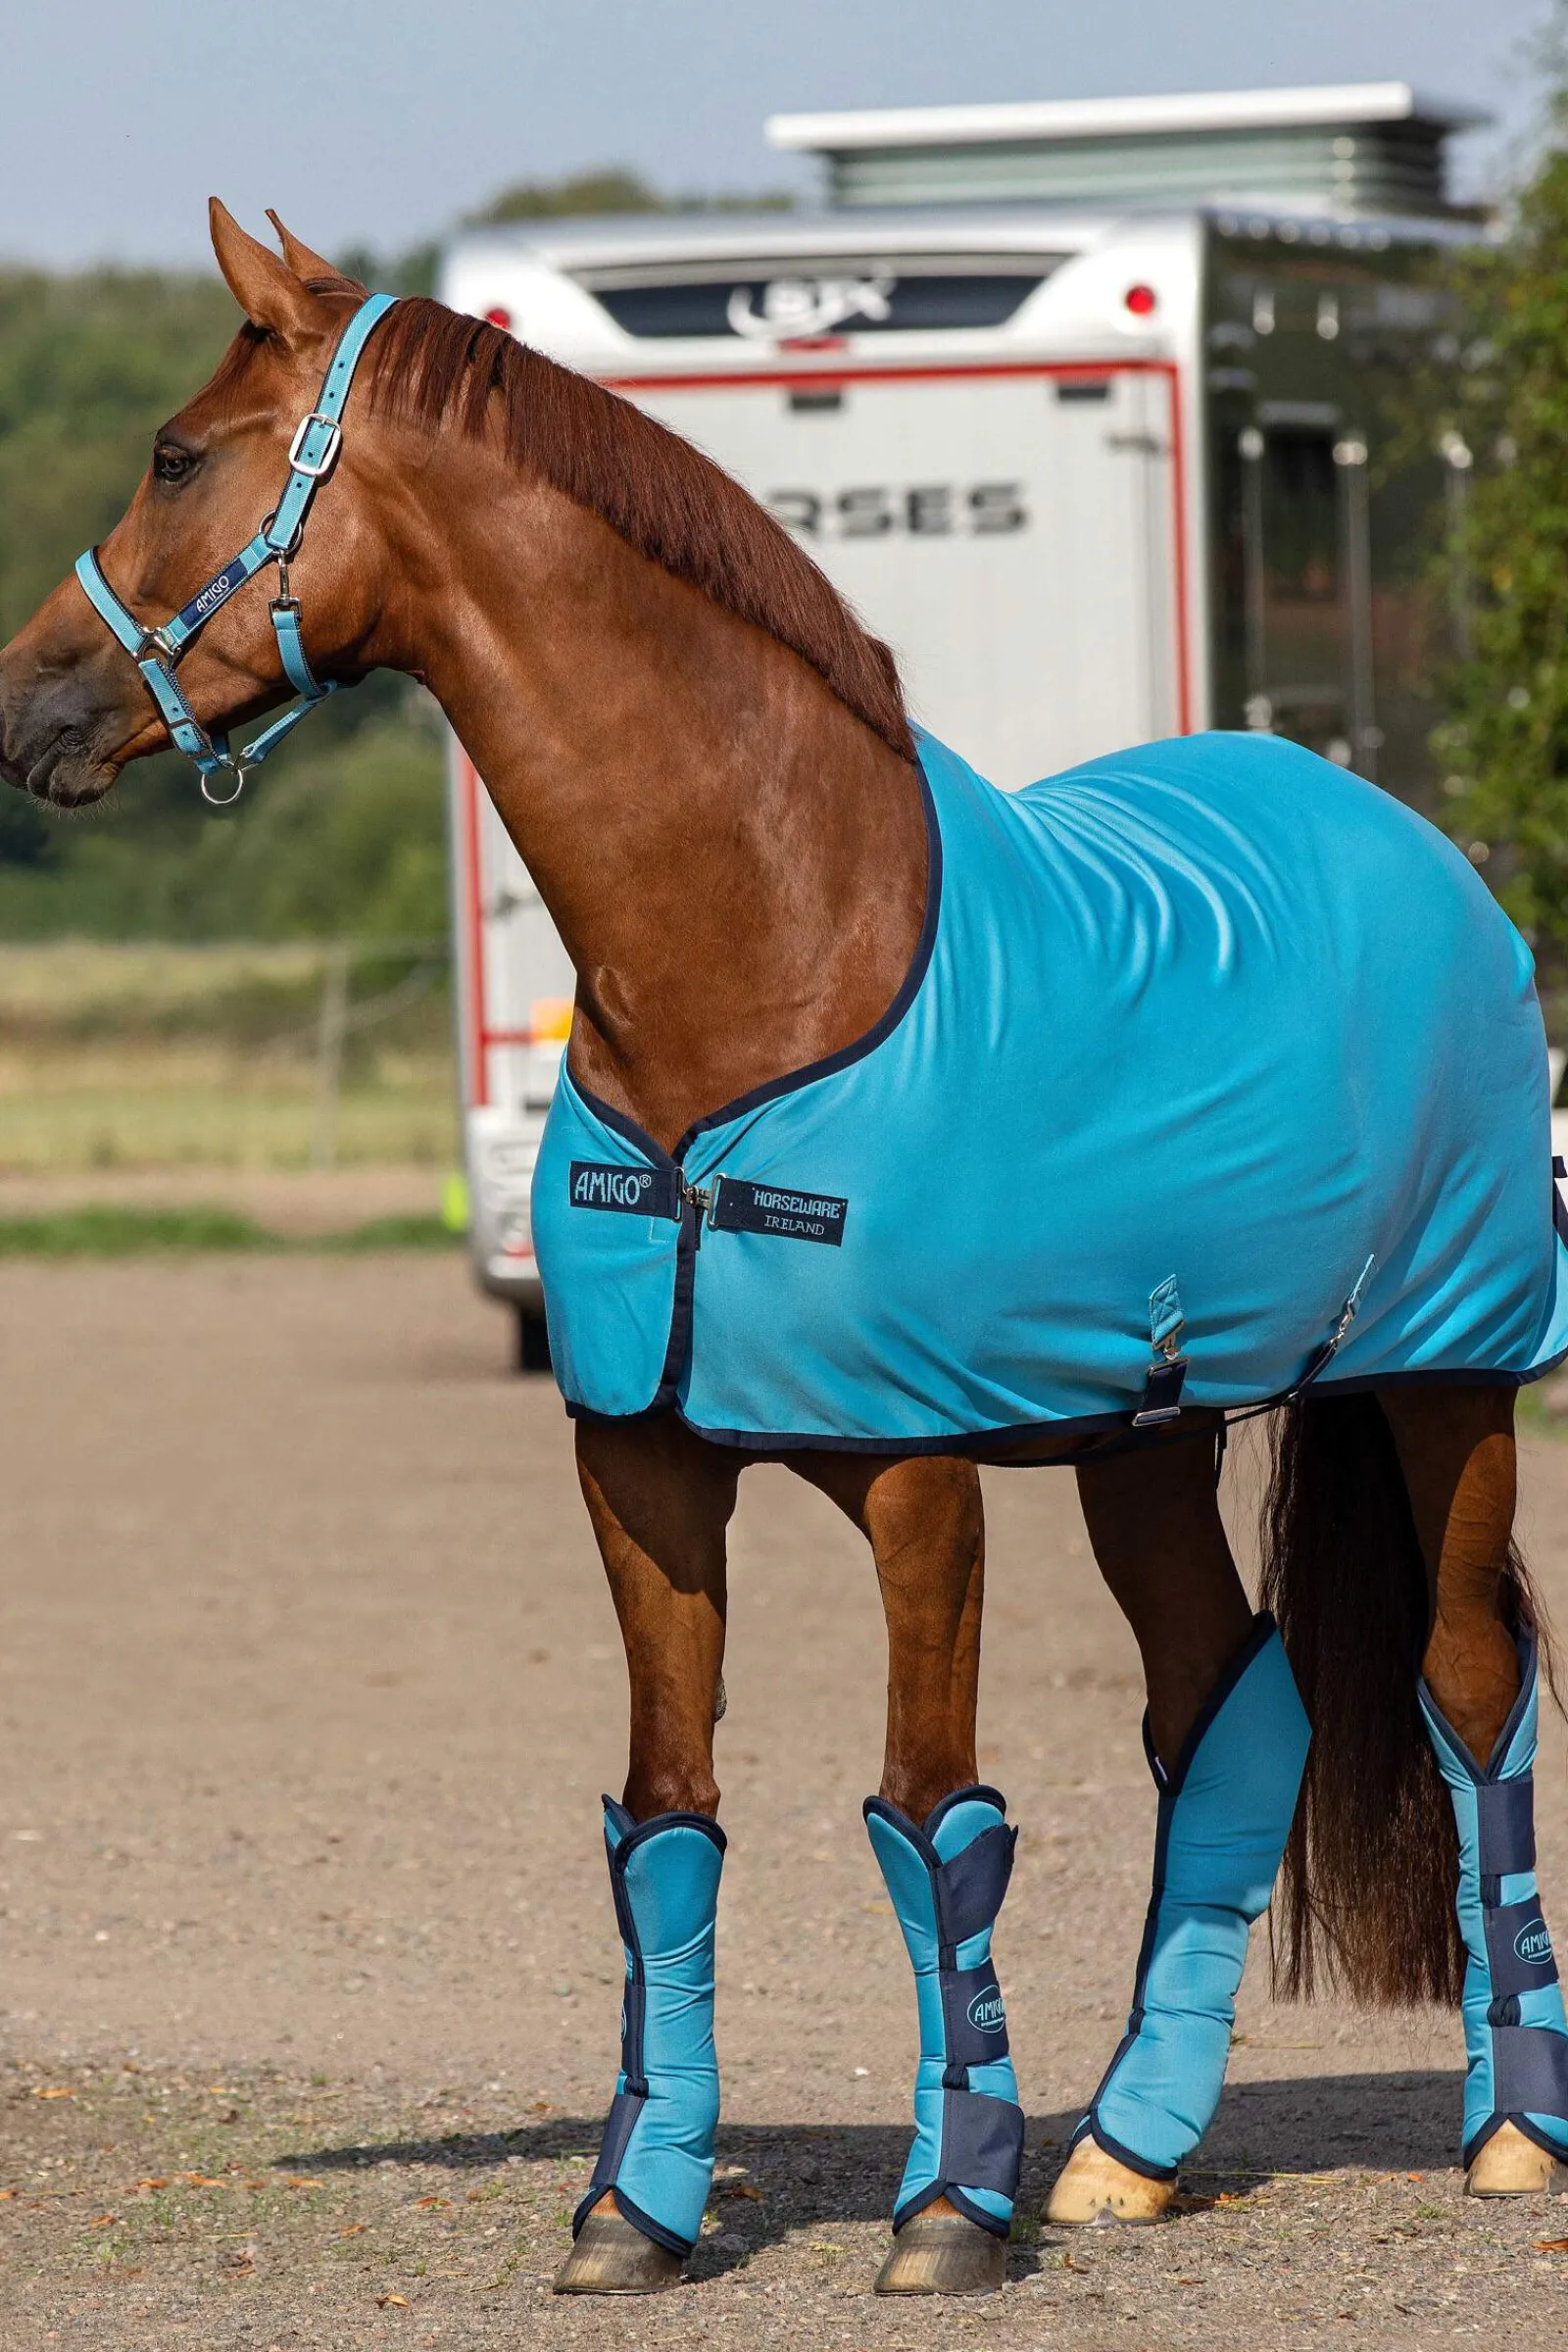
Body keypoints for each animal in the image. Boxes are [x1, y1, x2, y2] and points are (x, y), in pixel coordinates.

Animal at [2, 204, 1566, 2302]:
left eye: (177, 455)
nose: (25, 708)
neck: (764, 950)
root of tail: (1407, 842)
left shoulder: (920, 1482)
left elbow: (930, 1816)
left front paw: (947, 2210)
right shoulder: (644, 1468)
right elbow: (667, 1822)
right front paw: (635, 2208)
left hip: (1445, 1378)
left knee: (1470, 1695)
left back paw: (1505, 2134)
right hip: (1143, 1437)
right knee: (1227, 1705)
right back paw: (1127, 2156)